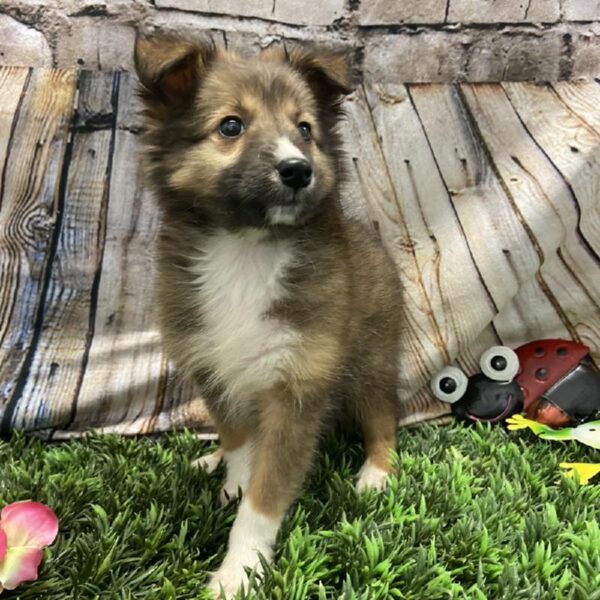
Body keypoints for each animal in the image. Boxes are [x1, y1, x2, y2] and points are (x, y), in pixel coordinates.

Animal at [134, 35, 400, 596]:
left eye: (305, 129)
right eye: (231, 125)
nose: (299, 170)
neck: (245, 250)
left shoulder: (296, 389)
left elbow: (264, 499)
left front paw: (238, 572)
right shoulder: (212, 367)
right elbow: (239, 442)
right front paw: (232, 481)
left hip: (371, 362)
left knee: (384, 420)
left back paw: (374, 475)